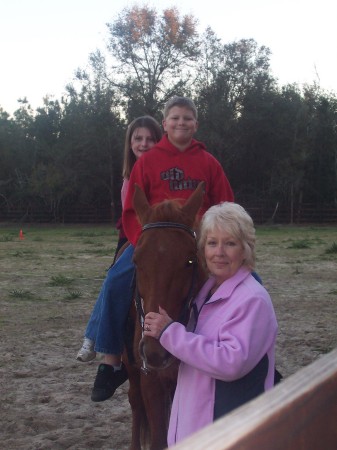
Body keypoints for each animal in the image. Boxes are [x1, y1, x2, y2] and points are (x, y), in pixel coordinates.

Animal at [123, 182, 206, 450]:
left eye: (190, 260)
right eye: (136, 260)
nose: (155, 351)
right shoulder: (151, 381)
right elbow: (158, 438)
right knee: (135, 402)